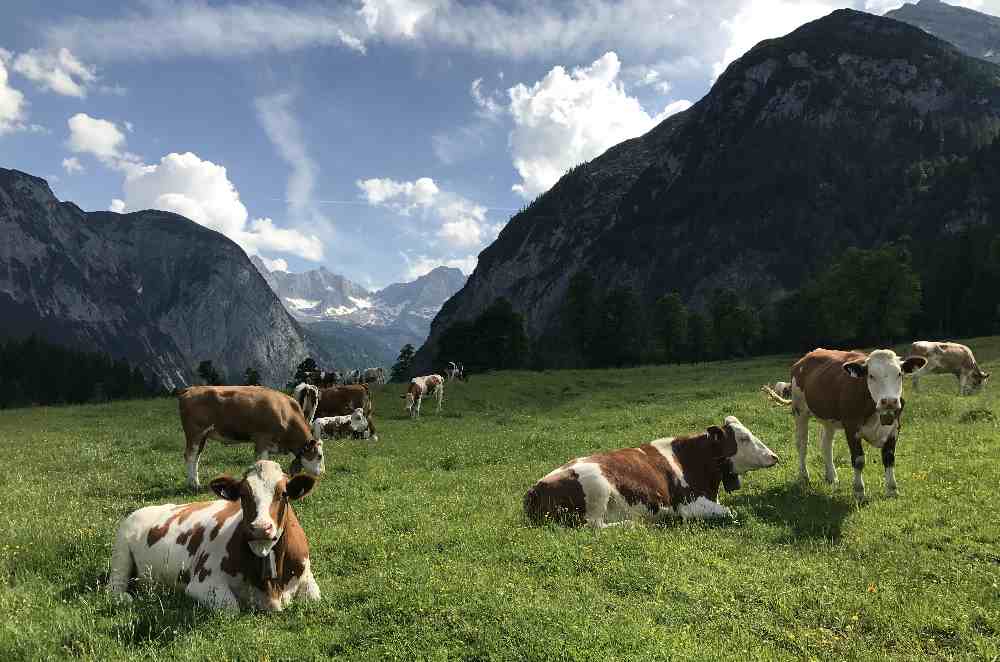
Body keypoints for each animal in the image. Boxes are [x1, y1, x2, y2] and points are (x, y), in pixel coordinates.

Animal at [106, 462, 318, 612]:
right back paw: (124, 597)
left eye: (283, 494)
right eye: (243, 494)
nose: (260, 528)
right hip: (120, 550)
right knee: (114, 587)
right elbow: (231, 608)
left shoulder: (308, 577)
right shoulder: (201, 583)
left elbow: (315, 597)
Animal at [176, 384, 324, 492]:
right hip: (195, 433)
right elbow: (263, 462)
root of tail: (191, 389)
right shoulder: (262, 439)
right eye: (319, 456)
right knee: (190, 456)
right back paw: (193, 484)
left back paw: (195, 482)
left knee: (196, 457)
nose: (322, 472)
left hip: (202, 437)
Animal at [520, 418, 784, 532]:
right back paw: (635, 523)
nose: (774, 456)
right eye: (743, 438)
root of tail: (535, 487)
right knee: (594, 526)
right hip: (597, 490)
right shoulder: (688, 505)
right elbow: (730, 512)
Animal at [760, 350, 924, 500]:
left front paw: (892, 490)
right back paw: (803, 476)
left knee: (826, 445)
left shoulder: (894, 429)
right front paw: (859, 491)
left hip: (828, 420)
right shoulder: (851, 427)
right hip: (800, 411)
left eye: (899, 374)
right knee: (802, 444)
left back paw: (831, 477)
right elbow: (858, 460)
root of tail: (806, 357)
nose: (889, 401)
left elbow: (889, 458)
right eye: (871, 375)